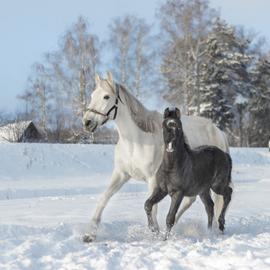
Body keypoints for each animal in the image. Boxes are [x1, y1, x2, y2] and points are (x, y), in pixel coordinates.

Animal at [144, 107, 233, 238]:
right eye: (164, 126)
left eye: (179, 127)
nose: (170, 146)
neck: (171, 167)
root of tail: (225, 154)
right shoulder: (161, 190)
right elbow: (148, 204)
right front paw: (153, 229)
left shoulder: (178, 193)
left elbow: (170, 218)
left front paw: (165, 238)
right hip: (203, 190)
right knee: (210, 206)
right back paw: (209, 231)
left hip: (217, 186)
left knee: (228, 194)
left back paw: (221, 225)